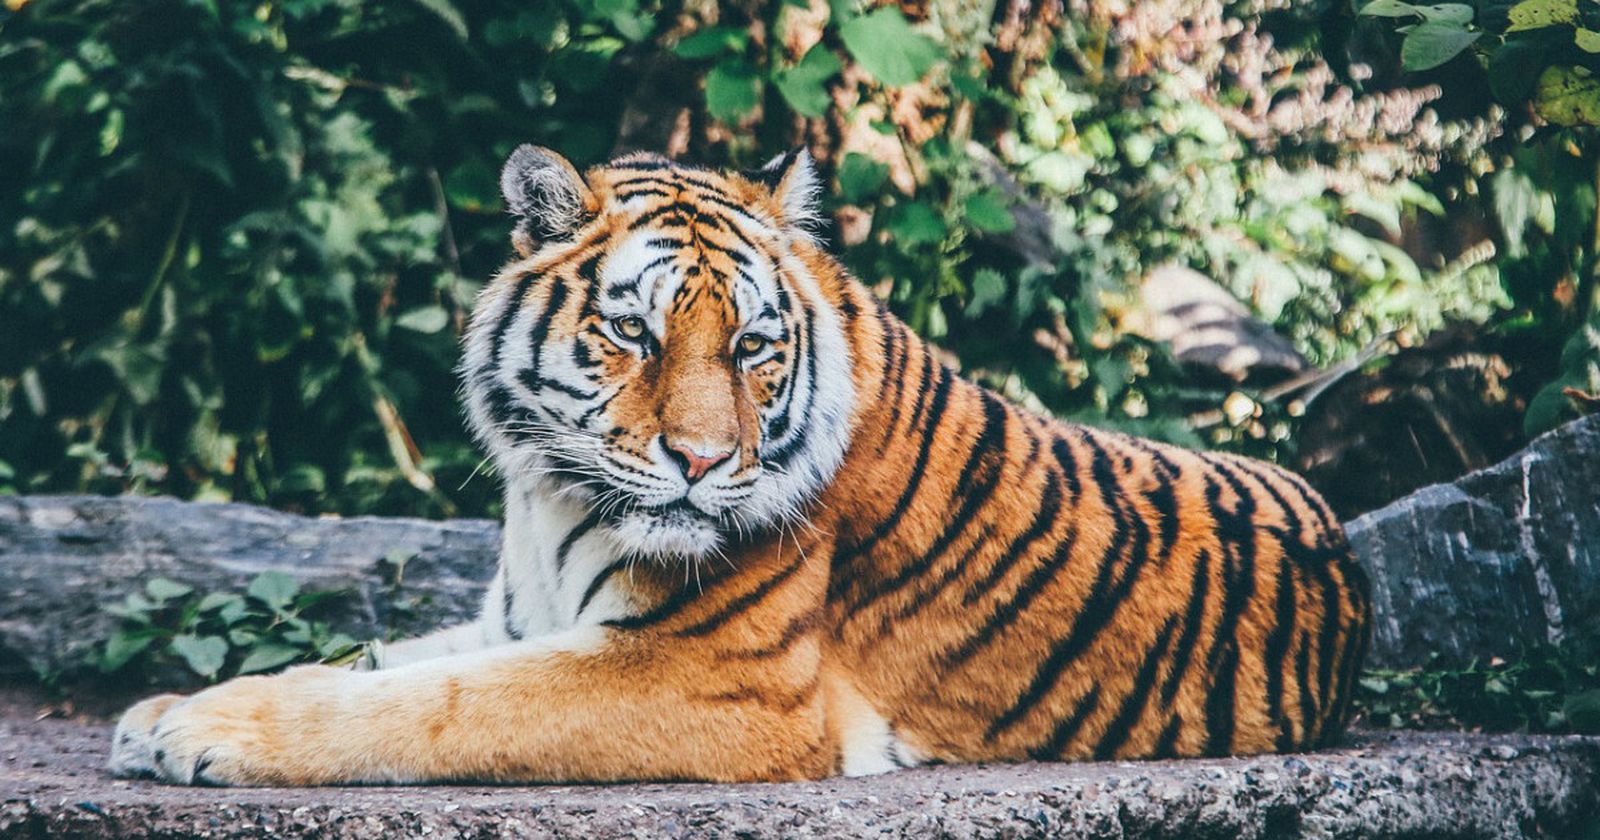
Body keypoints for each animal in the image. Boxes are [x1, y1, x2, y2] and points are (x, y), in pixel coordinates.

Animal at [108, 146, 1371, 786]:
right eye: (635, 333)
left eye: (754, 347)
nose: (703, 461)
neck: (546, 498)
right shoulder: (518, 618)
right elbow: (375, 662)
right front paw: (165, 709)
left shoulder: (708, 679)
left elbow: (433, 705)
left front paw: (201, 734)